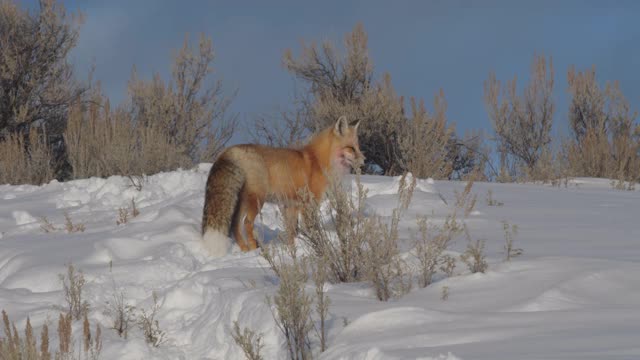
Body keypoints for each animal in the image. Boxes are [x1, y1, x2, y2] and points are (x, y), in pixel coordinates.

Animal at [200, 115, 362, 256]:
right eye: (351, 148)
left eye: (357, 147)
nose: (363, 161)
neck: (319, 160)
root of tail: (230, 150)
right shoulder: (309, 204)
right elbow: (312, 230)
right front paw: (317, 246)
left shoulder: (291, 206)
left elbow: (292, 232)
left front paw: (292, 249)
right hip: (257, 199)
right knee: (247, 223)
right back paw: (255, 249)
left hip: (242, 201)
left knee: (235, 225)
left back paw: (245, 250)